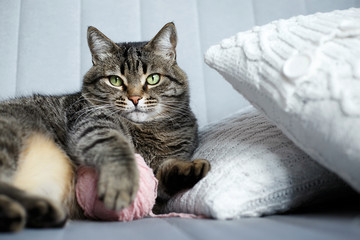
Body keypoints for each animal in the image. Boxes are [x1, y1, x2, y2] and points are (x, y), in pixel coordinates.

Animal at [0, 23, 208, 232]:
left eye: (153, 79)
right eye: (115, 80)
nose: (134, 98)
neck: (146, 131)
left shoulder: (160, 177)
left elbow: (163, 176)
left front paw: (189, 169)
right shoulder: (93, 123)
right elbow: (116, 146)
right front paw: (120, 181)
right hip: (9, 134)